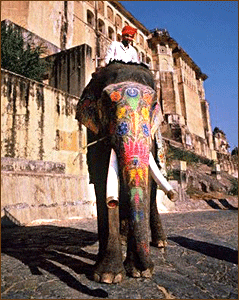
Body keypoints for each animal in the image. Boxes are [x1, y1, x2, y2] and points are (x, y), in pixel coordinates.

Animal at [75, 61, 176, 284]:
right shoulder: (97, 134)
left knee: (153, 194)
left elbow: (145, 186)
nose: (148, 268)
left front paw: (138, 272)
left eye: (153, 104)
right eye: (106, 102)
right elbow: (103, 184)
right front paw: (107, 276)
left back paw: (161, 243)